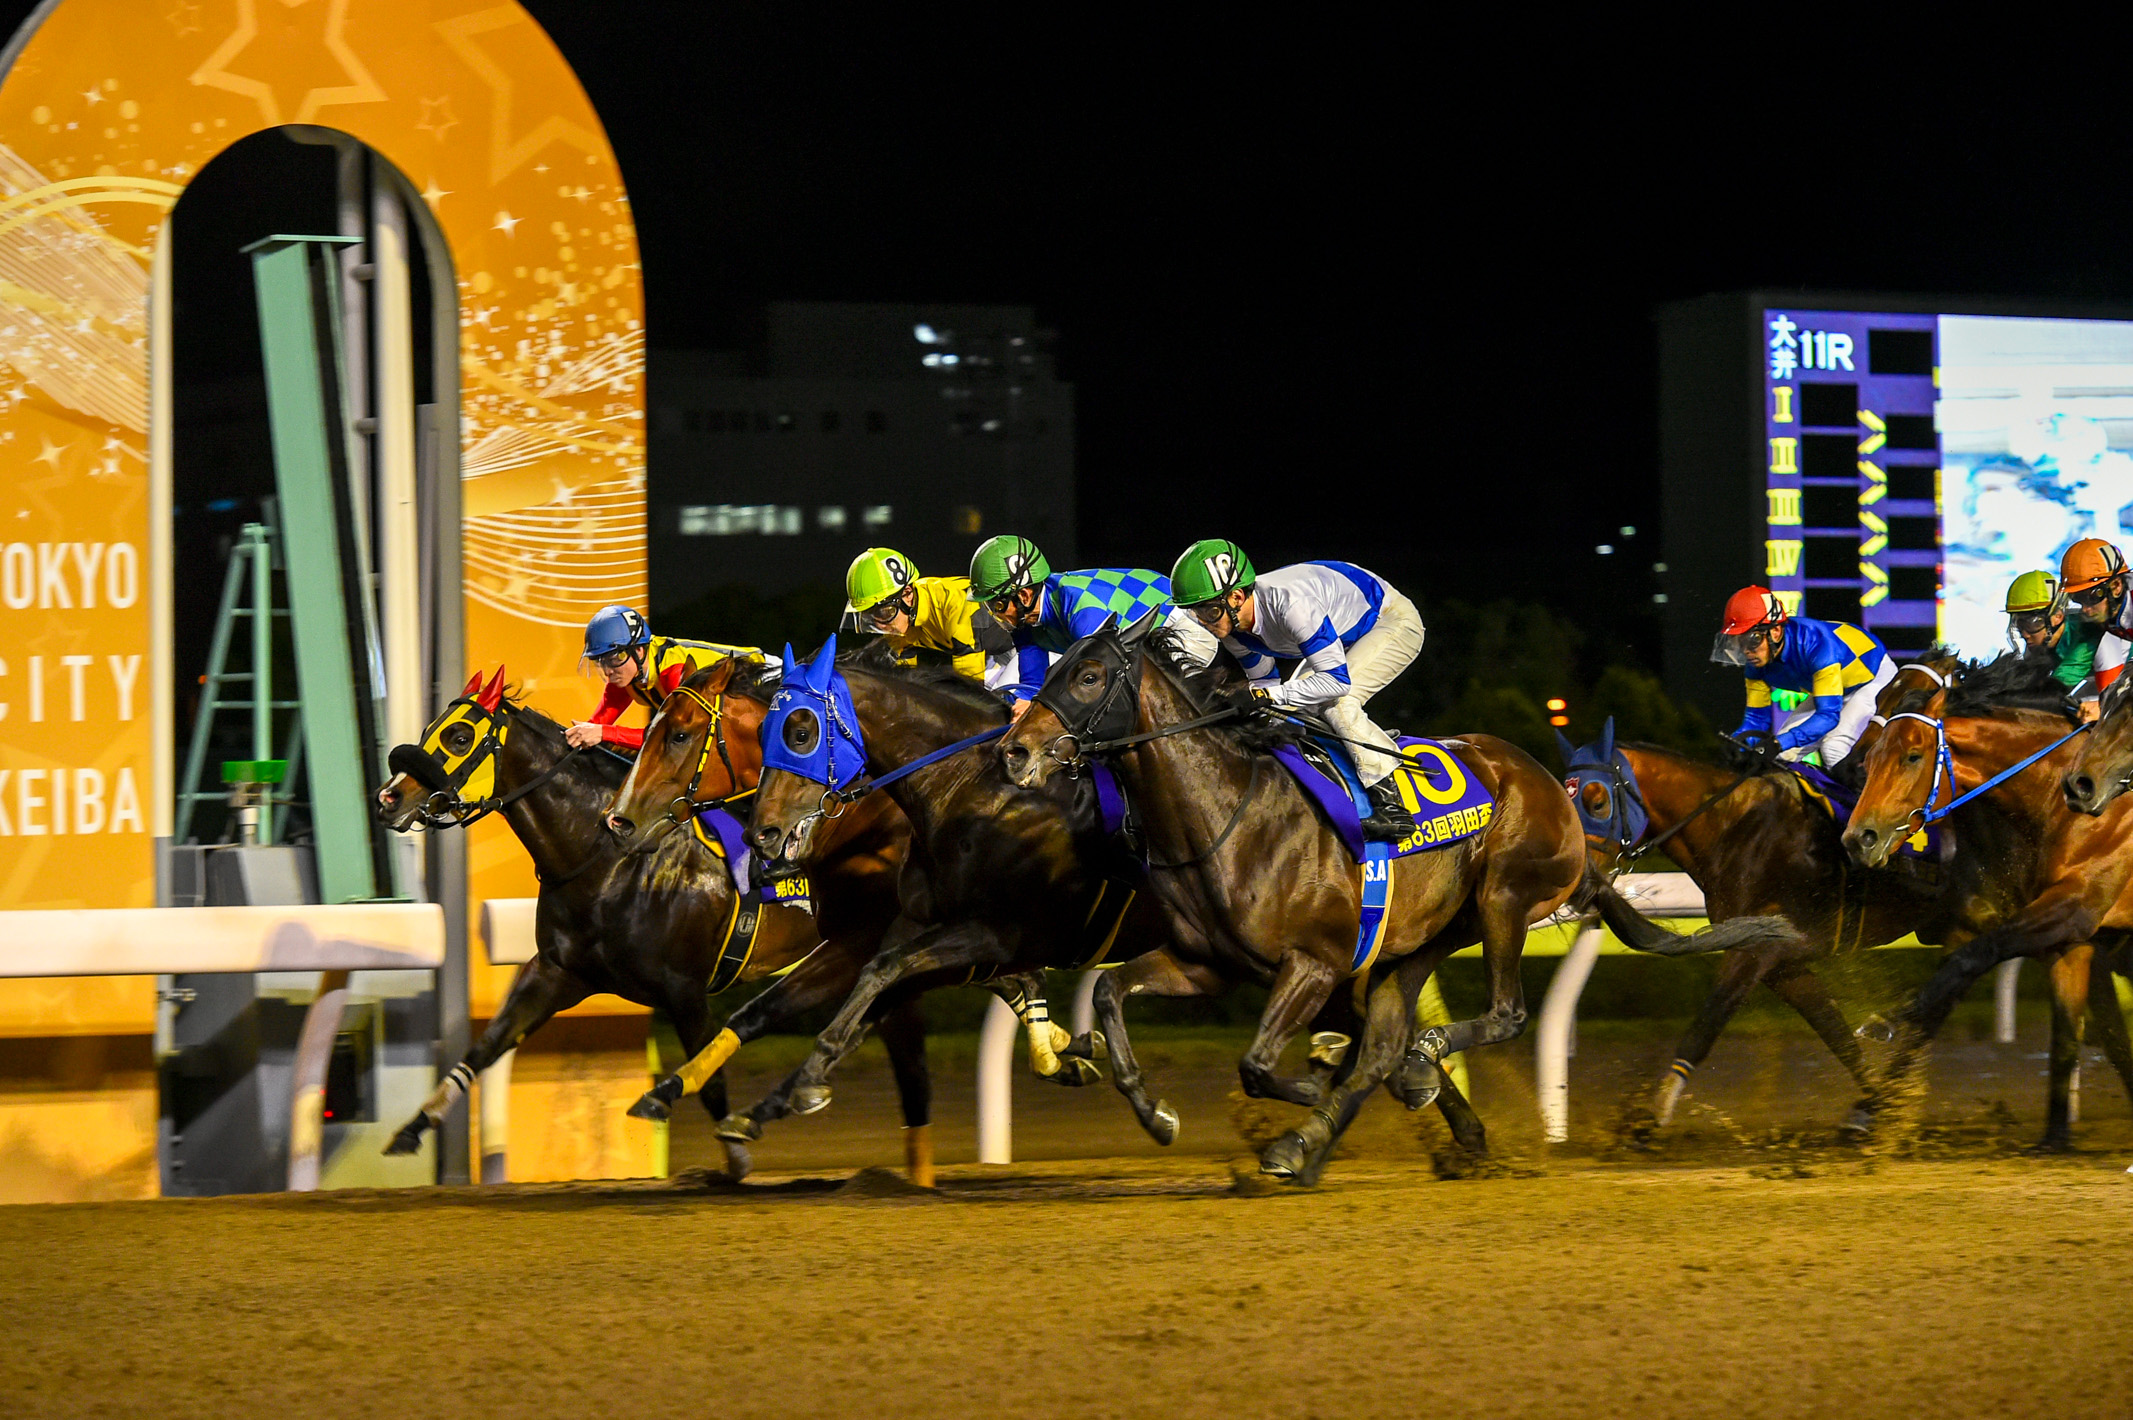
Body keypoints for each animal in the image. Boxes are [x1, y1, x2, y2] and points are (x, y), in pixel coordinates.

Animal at [372, 662, 924, 1181]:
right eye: (430, 727)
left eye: (459, 737)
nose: (387, 798)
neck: (609, 860)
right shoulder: (557, 972)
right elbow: (486, 1046)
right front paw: (412, 1128)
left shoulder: (685, 988)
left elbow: (711, 1078)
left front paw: (734, 1160)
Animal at [995, 615, 1796, 1181]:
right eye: (1054, 667)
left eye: (1089, 675)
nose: (1014, 750)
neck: (1226, 812)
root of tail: (1554, 791)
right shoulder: (1207, 964)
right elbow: (1108, 992)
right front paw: (1155, 1110)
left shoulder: (1314, 963)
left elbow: (1258, 1065)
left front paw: (1314, 1082)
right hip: (1420, 941)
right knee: (1386, 1045)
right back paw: (1335, 1133)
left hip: (1504, 897)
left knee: (1495, 1016)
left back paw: (1388, 1087)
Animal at [1561, 660, 1958, 1125]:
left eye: (1596, 801)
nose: (1577, 879)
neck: (1735, 825)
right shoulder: (1782, 961)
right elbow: (1836, 1033)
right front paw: (1877, 1110)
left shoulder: (1758, 947)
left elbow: (1706, 1025)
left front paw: (1652, 1118)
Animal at [1840, 653, 2133, 1147]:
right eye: (1879, 700)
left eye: (1912, 756)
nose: (1859, 838)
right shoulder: (2046, 935)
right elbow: (1948, 995)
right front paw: (1871, 1109)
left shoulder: (2072, 909)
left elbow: (1976, 958)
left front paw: (1882, 1021)